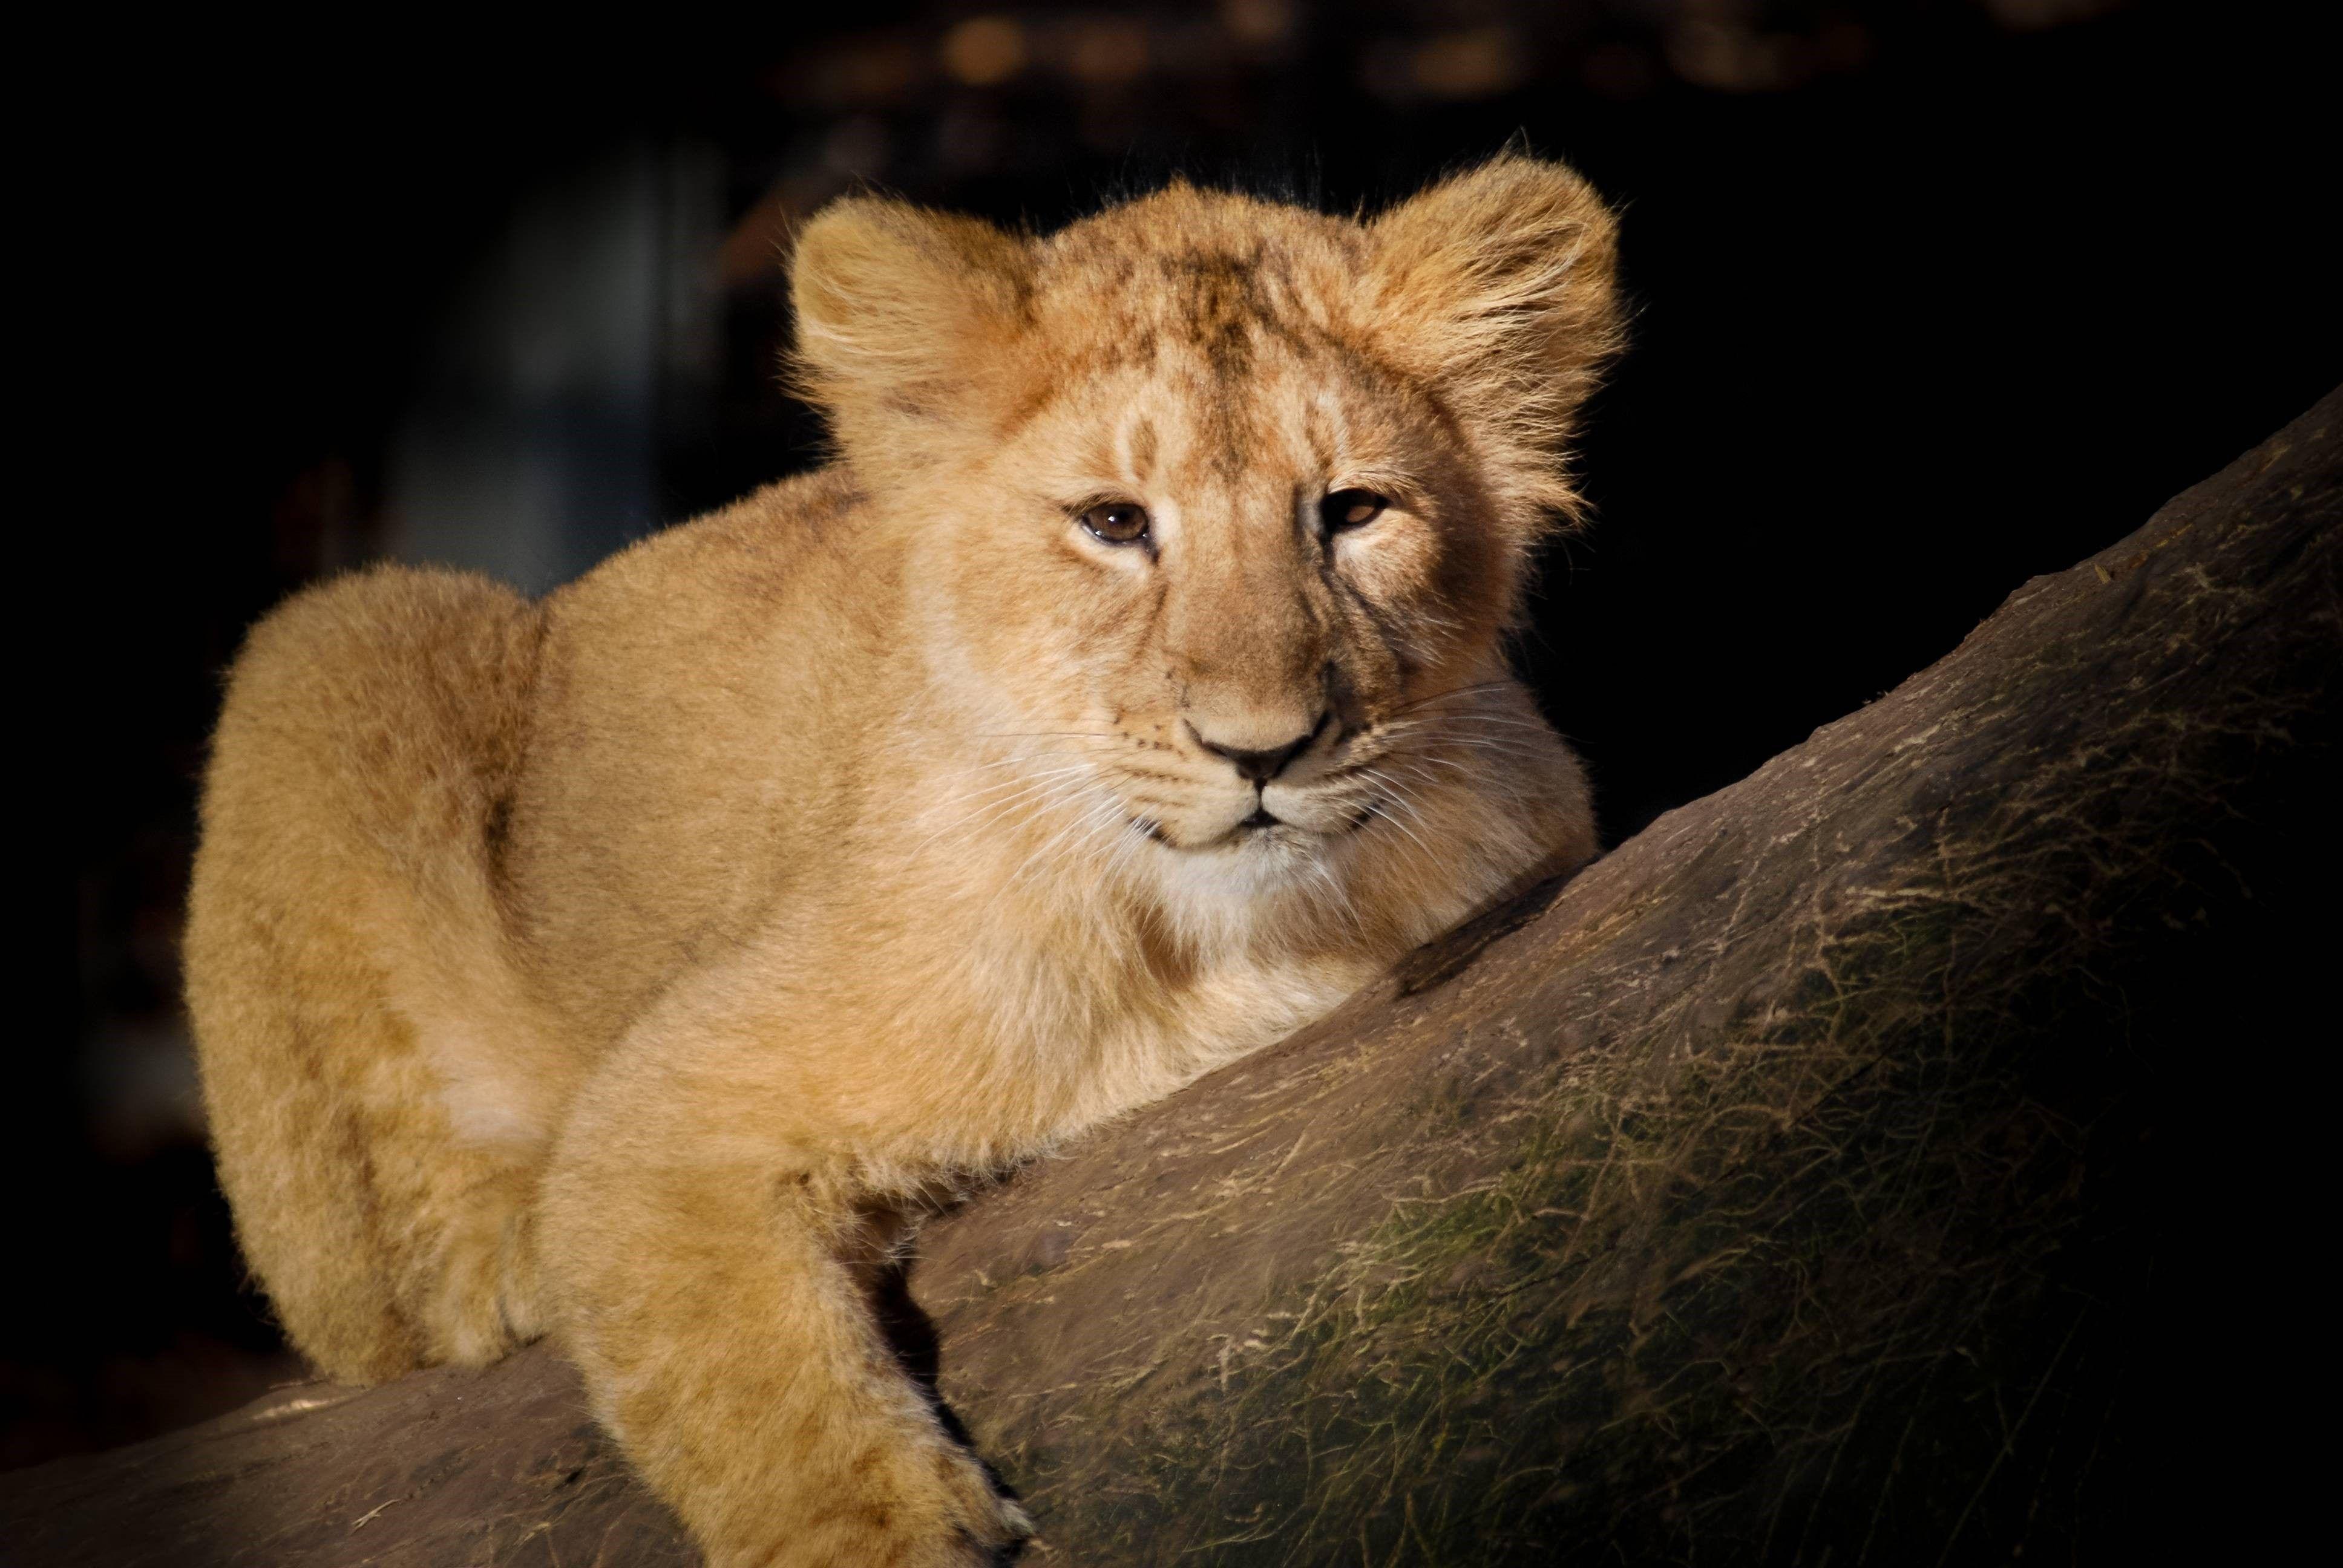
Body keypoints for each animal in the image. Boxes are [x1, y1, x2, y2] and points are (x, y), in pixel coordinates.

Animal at [183, 154, 1621, 1566]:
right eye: (1113, 522)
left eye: (1353, 511)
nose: (1259, 748)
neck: (1223, 941)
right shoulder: (665, 1107)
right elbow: (752, 1394)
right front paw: (875, 1527)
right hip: (339, 640)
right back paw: (503, 1260)